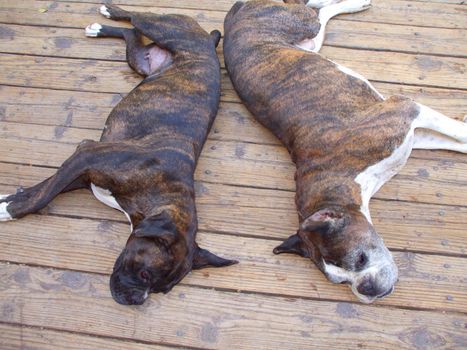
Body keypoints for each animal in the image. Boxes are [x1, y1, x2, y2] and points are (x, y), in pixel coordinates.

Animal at [0, 6, 238, 306]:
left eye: (162, 290)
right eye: (146, 274)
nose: (138, 300)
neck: (158, 190)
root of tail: (208, 41)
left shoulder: (81, 171)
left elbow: (43, 188)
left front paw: (9, 200)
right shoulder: (85, 157)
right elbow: (43, 196)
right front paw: (9, 209)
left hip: (138, 61)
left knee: (131, 34)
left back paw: (100, 28)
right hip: (164, 27)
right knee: (137, 17)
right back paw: (111, 10)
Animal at [223, 0, 467, 302]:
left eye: (360, 258)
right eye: (341, 281)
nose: (366, 289)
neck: (342, 176)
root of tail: (233, 12)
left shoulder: (407, 110)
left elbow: (459, 132)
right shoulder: (415, 130)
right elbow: (458, 140)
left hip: (301, 23)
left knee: (314, 12)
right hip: (309, 41)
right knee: (319, 14)